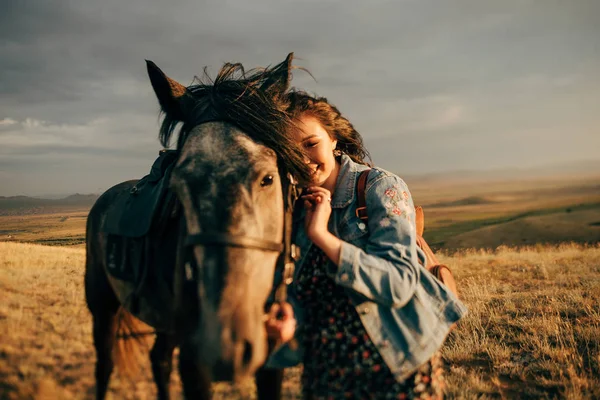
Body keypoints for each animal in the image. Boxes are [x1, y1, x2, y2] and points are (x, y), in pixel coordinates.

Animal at [84, 54, 312, 400]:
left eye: (268, 178)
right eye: (179, 184)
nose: (226, 349)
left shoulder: (272, 359)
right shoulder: (194, 362)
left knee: (159, 360)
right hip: (103, 308)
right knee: (105, 365)